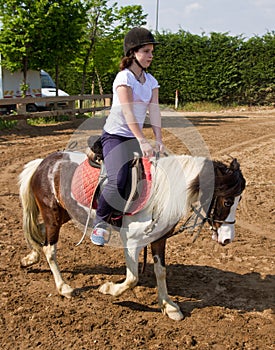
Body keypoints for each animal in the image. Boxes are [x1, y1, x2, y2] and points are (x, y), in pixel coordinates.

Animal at [18, 150, 247, 320]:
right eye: (228, 201)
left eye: (239, 200)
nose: (228, 238)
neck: (160, 193)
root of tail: (43, 163)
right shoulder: (131, 242)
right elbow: (132, 278)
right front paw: (108, 288)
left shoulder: (159, 240)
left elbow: (160, 272)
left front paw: (169, 306)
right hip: (53, 214)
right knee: (50, 249)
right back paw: (63, 287)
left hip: (63, 213)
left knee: (39, 232)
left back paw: (30, 259)